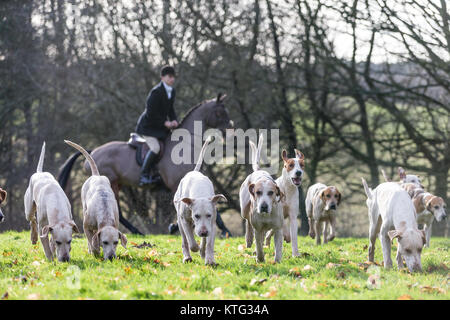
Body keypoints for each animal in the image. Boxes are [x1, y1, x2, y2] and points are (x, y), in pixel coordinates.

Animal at [58, 92, 234, 235]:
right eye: (219, 112)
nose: (230, 131)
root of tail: (93, 152)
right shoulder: (175, 184)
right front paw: (226, 231)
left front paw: (173, 227)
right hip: (112, 182)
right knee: (118, 210)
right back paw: (138, 232)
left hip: (119, 183)